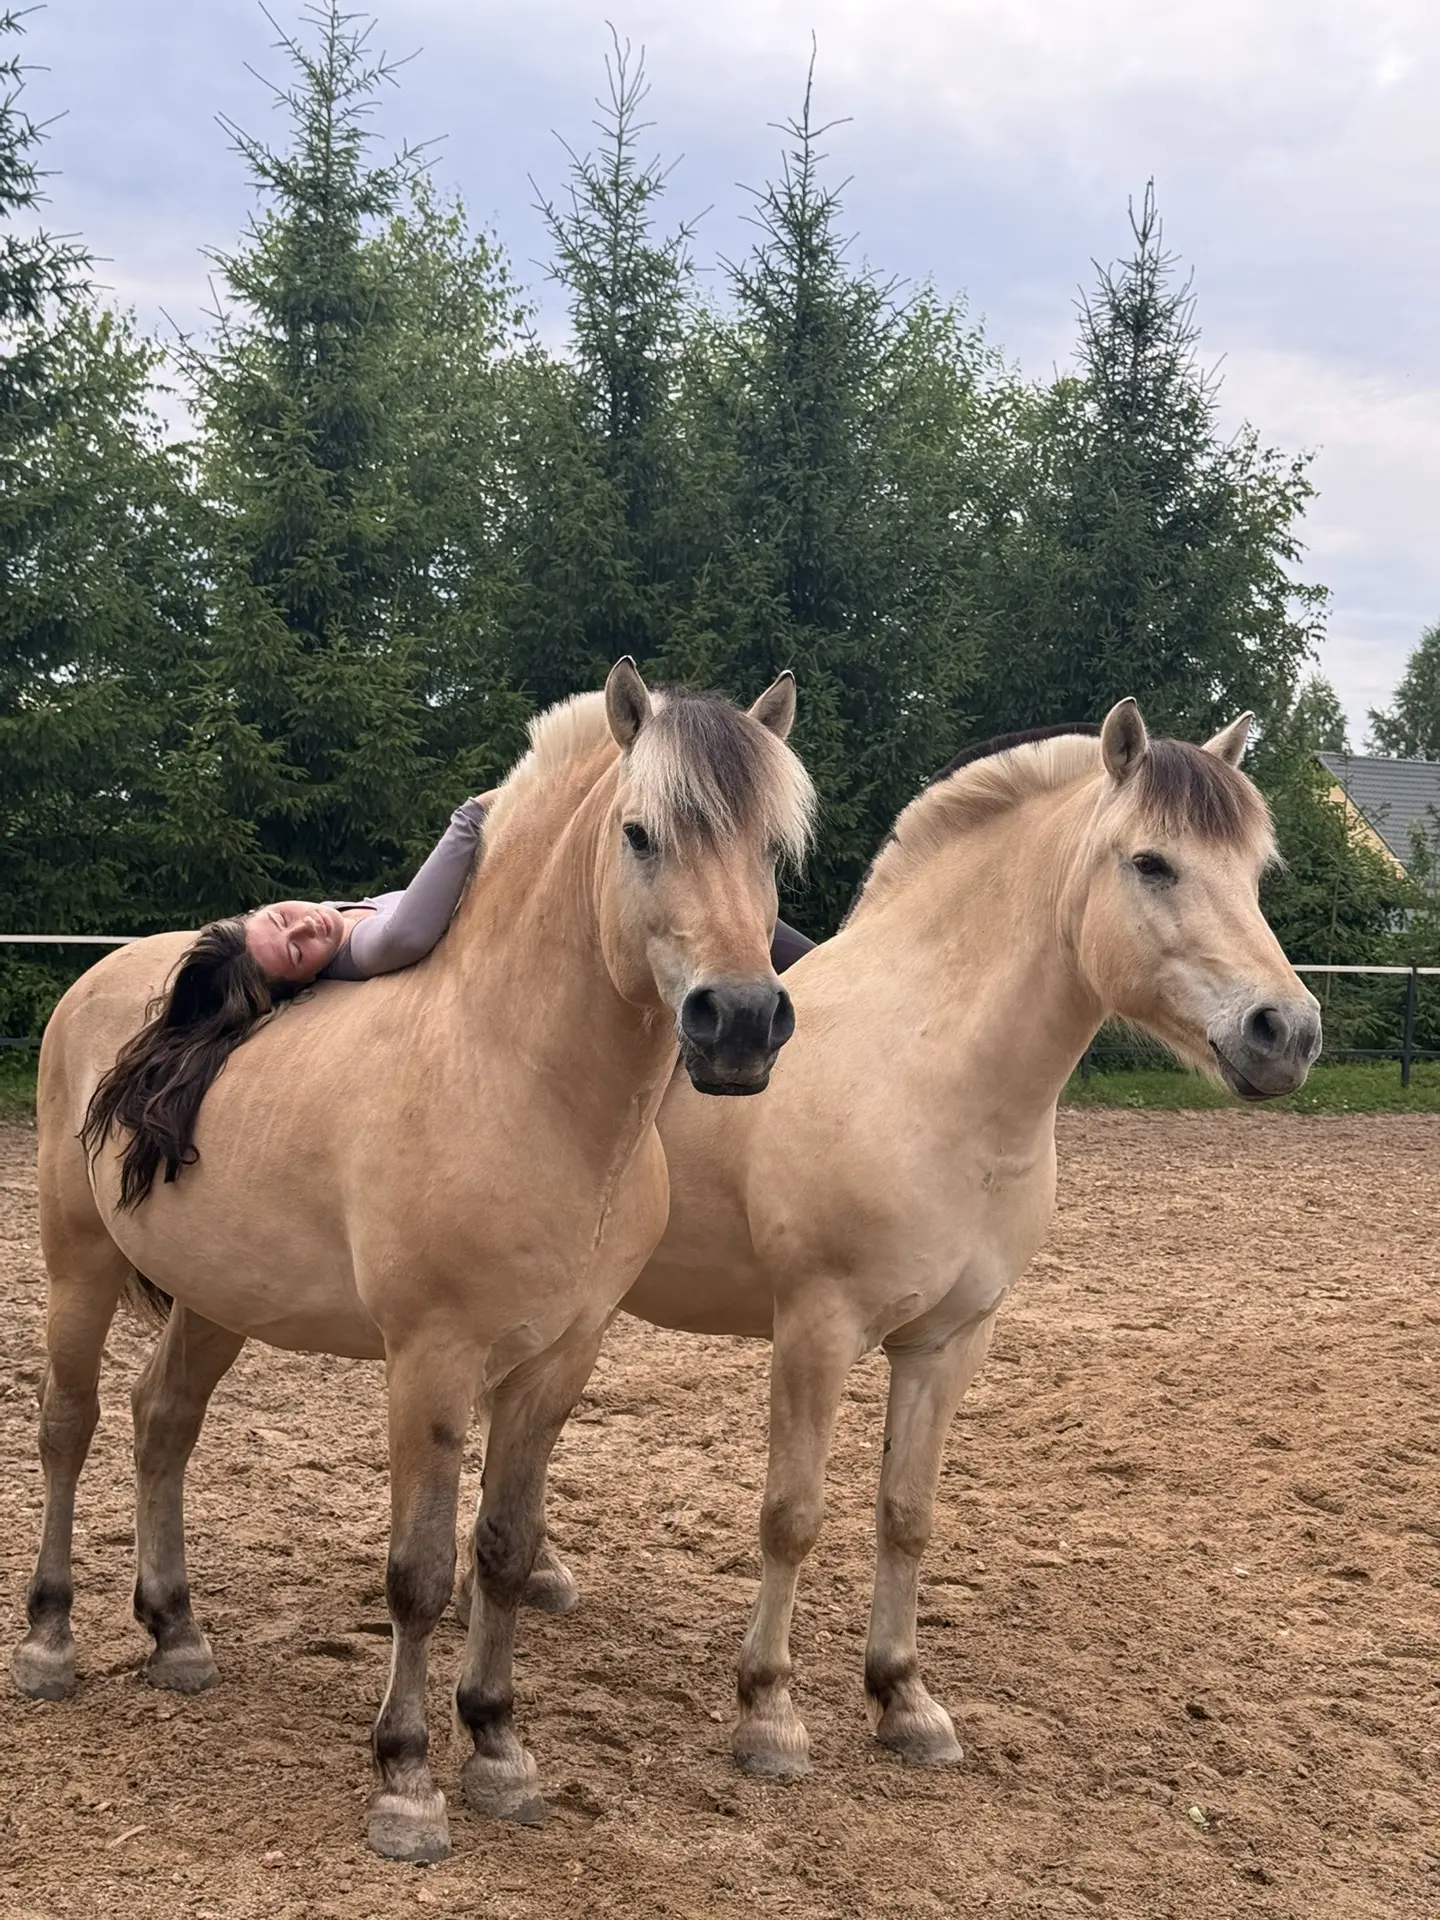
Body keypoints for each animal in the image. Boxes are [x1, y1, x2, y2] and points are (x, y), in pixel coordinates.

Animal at [11, 660, 815, 1863]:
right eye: (639, 833)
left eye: (771, 849)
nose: (744, 1021)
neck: (515, 1073)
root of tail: (98, 984)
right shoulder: (430, 1362)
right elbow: (422, 1572)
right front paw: (404, 1778)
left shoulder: (557, 1365)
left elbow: (505, 1552)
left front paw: (497, 1747)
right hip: (80, 1269)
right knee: (70, 1426)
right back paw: (51, 1639)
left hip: (217, 1298)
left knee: (163, 1423)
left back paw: (177, 1632)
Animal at [508, 698, 1322, 1779]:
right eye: (1152, 863)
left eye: (1255, 872)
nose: (1287, 1032)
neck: (931, 1074)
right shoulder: (816, 1331)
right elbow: (792, 1516)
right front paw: (768, 1712)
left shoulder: (949, 1341)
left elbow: (907, 1516)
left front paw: (903, 1697)